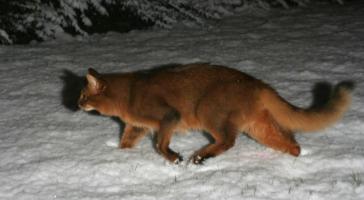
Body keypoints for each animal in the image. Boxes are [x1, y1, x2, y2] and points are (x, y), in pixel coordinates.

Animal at [77, 63, 352, 164]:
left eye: (83, 95)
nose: (77, 104)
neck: (130, 92)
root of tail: (256, 82)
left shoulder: (169, 116)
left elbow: (160, 144)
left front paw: (174, 157)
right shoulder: (137, 127)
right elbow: (125, 142)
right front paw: (119, 156)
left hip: (208, 111)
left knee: (228, 140)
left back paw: (201, 157)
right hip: (258, 128)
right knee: (291, 141)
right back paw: (295, 159)